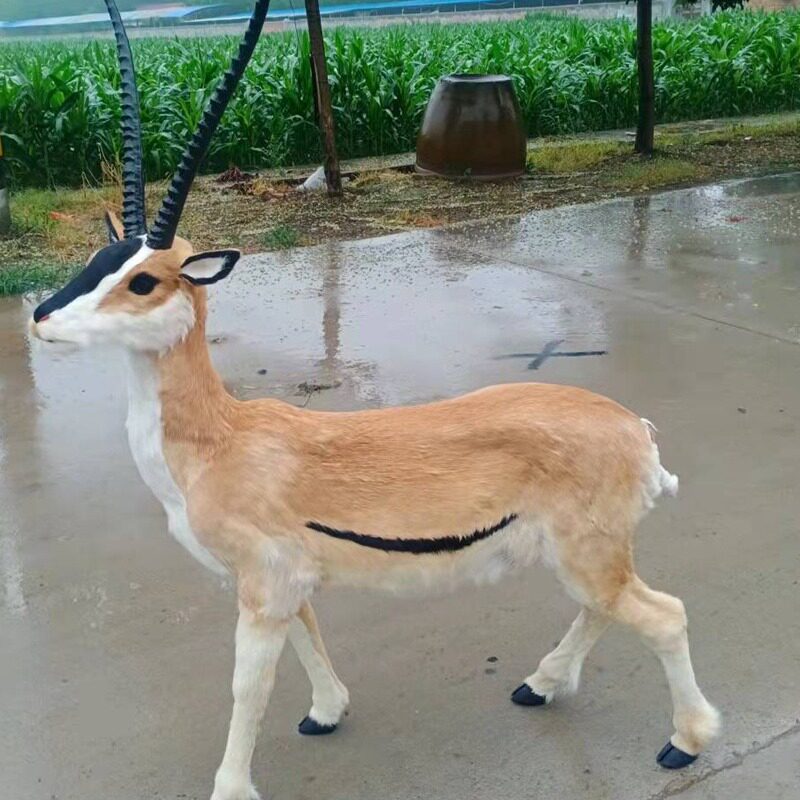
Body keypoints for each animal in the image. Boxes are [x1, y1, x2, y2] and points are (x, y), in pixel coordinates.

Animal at [28, 3, 720, 799]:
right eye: (96, 261)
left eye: (145, 280)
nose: (39, 318)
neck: (222, 441)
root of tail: (636, 430)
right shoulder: (287, 584)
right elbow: (309, 638)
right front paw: (327, 713)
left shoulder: (262, 587)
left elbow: (248, 687)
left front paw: (232, 786)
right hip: (581, 557)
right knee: (604, 610)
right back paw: (539, 686)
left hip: (589, 554)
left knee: (665, 615)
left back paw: (682, 744)